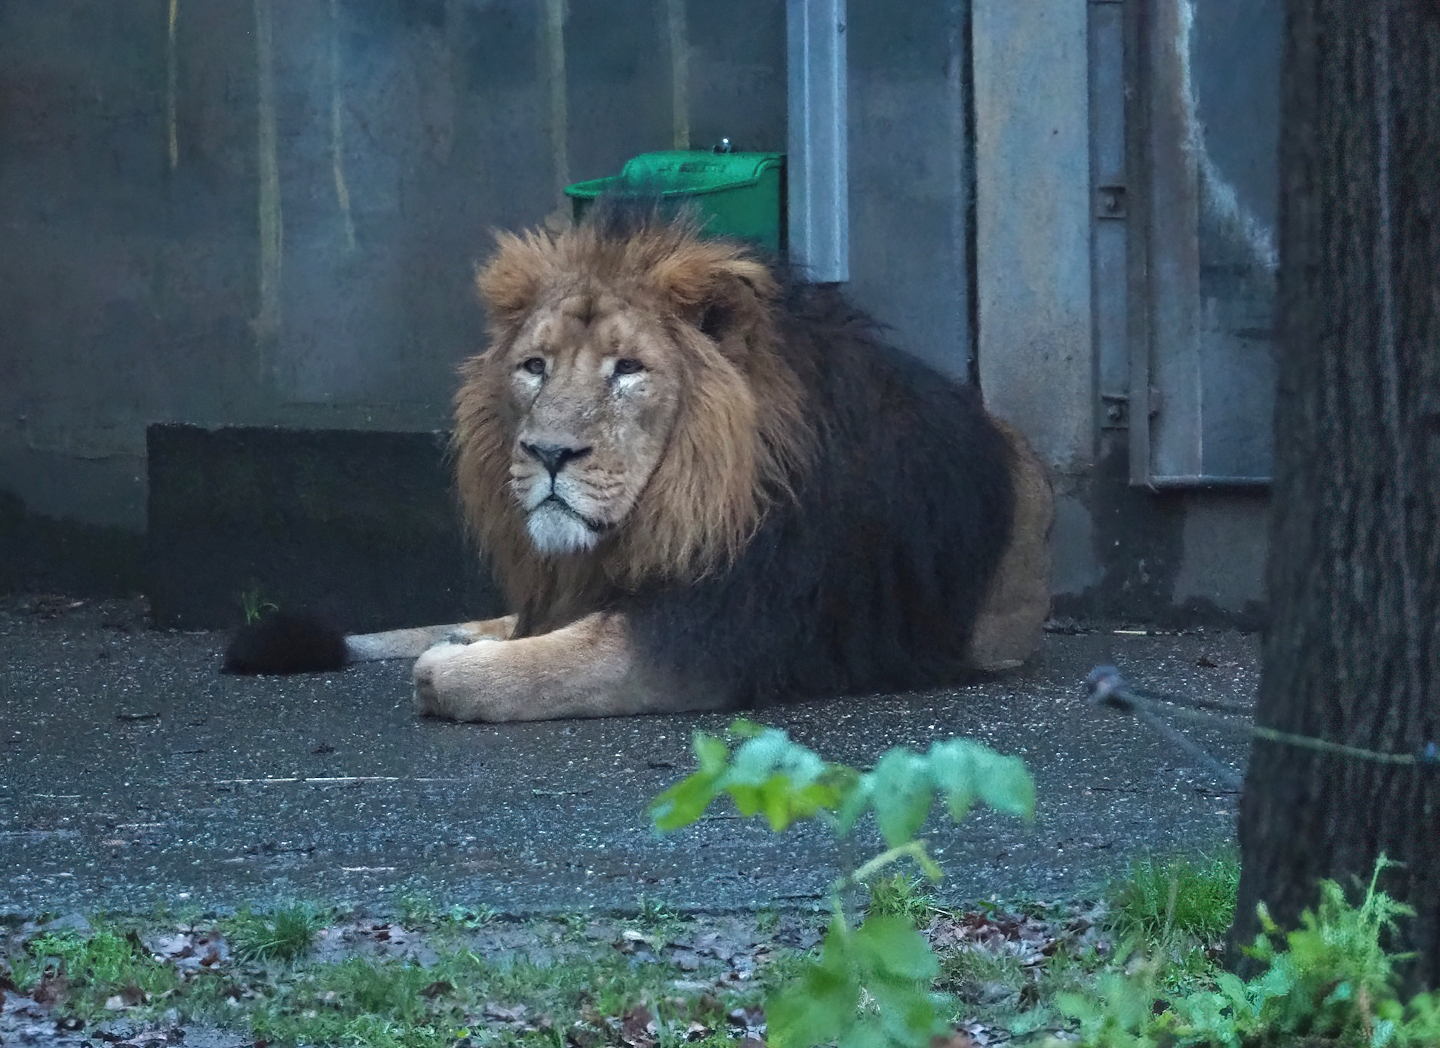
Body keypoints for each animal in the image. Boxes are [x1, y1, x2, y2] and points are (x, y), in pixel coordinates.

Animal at [223, 206, 1054, 722]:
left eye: (628, 370)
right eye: (534, 367)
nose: (549, 453)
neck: (686, 496)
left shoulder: (703, 640)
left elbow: (505, 673)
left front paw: (457, 669)